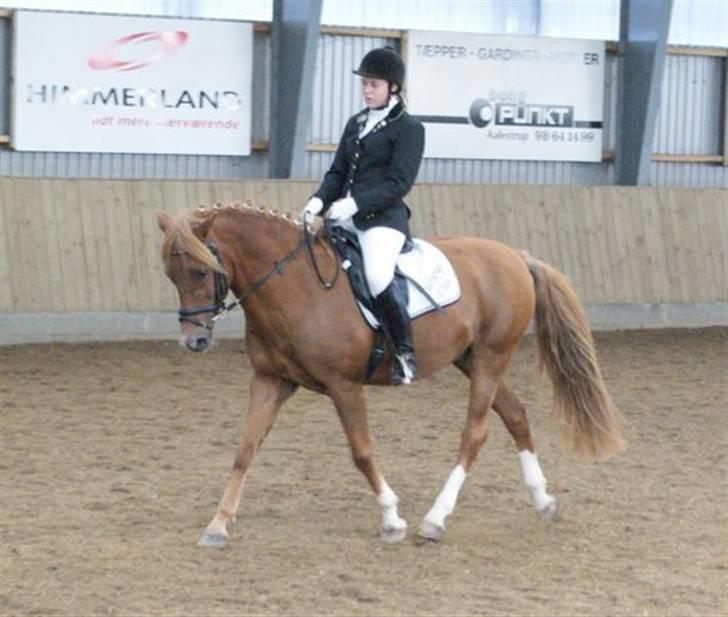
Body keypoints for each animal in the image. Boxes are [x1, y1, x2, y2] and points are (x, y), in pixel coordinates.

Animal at [156, 203, 624, 548]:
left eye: (201, 270)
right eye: (170, 273)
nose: (194, 341)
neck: (296, 286)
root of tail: (516, 256)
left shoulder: (343, 386)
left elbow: (361, 452)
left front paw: (392, 519)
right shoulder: (271, 380)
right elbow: (245, 450)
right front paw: (218, 525)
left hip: (492, 357)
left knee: (475, 432)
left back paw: (434, 520)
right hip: (471, 358)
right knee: (516, 414)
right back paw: (543, 501)